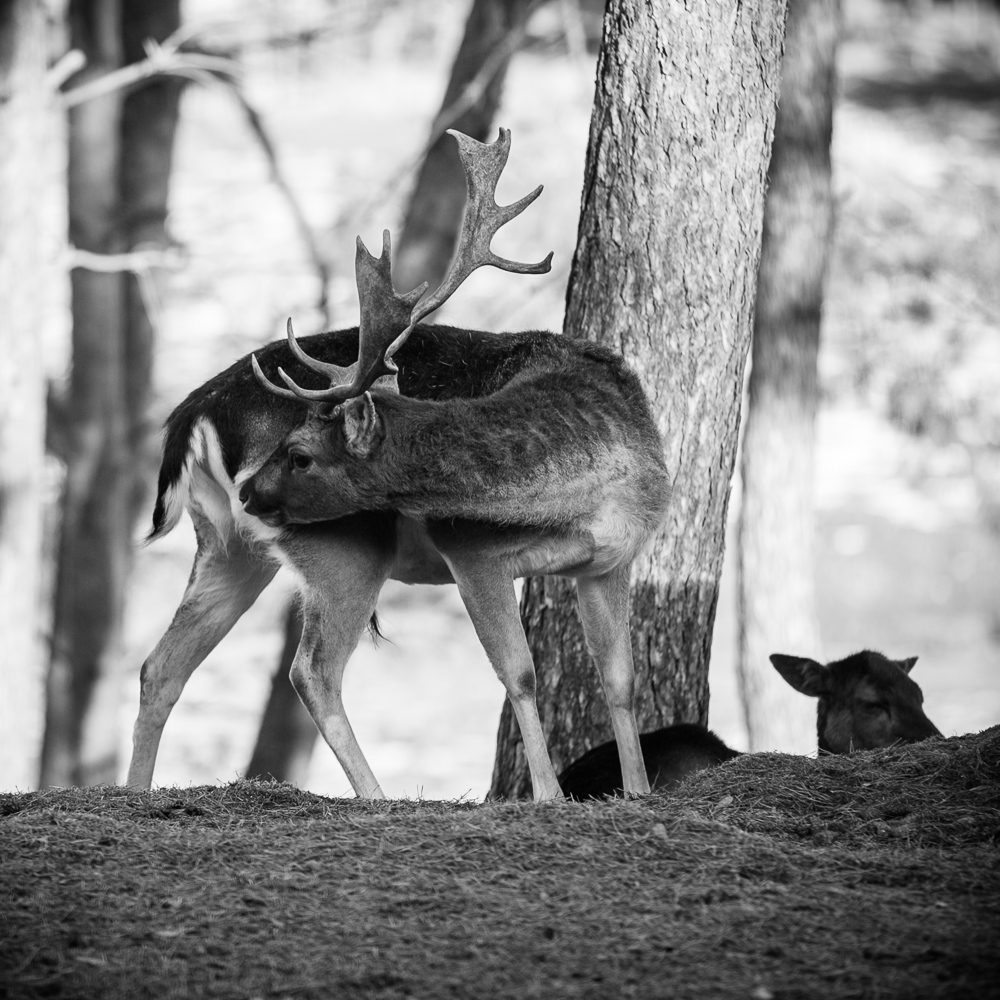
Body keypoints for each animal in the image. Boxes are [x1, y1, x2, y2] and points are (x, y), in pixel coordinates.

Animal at [127, 131, 672, 804]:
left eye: (301, 454)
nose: (251, 490)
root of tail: (192, 411)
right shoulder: (471, 549)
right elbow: (518, 673)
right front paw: (547, 796)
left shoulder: (612, 561)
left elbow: (620, 679)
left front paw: (639, 791)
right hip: (345, 544)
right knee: (312, 671)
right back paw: (377, 796)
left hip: (228, 546)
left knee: (161, 666)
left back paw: (133, 793)